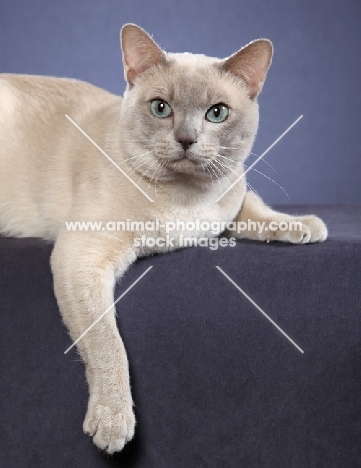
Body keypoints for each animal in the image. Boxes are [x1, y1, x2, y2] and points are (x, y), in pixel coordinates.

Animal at [0, 23, 326, 452]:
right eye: (160, 108)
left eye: (217, 113)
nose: (186, 139)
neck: (188, 199)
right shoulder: (80, 256)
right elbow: (108, 343)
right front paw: (114, 420)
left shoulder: (231, 194)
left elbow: (253, 206)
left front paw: (301, 224)